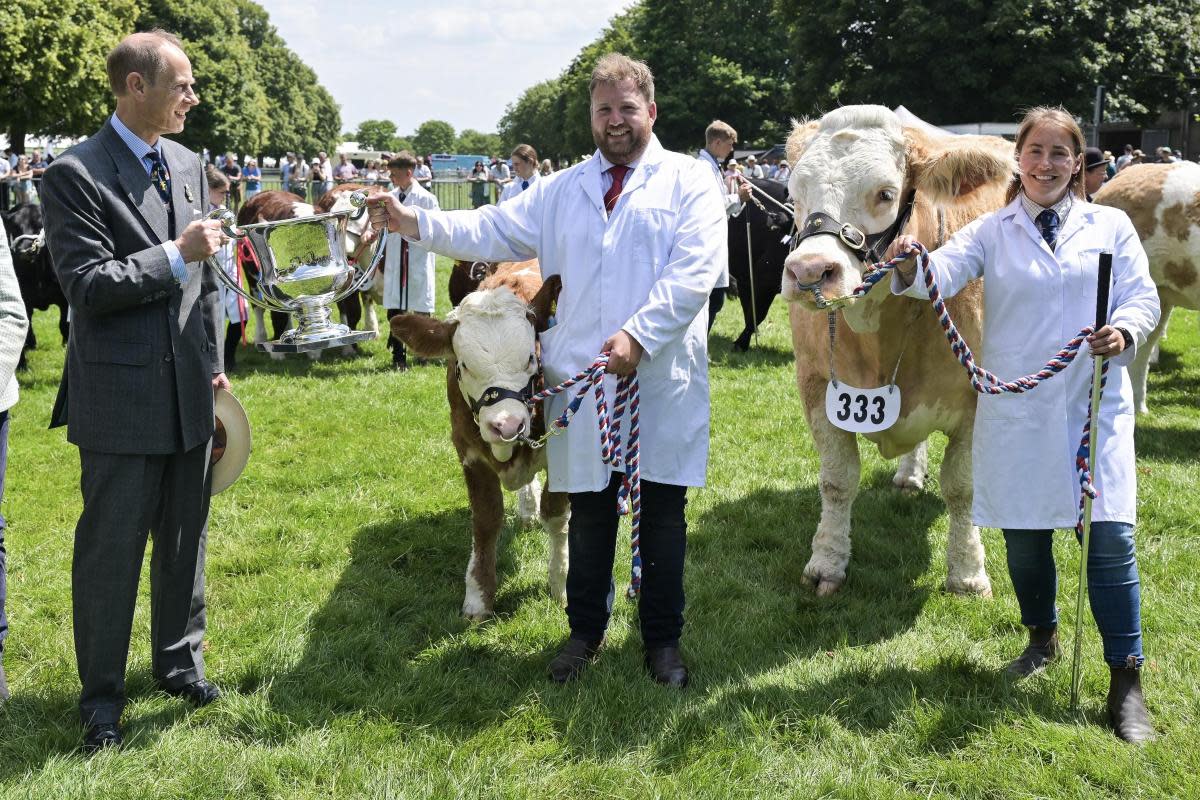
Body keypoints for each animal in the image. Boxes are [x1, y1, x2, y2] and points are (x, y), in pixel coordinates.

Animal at [1, 205, 68, 371]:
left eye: (39, 225)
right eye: (14, 226)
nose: (23, 250)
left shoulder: (65, 300)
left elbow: (64, 324)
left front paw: (66, 345)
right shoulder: (23, 300)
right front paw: (22, 366)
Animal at [388, 261, 566, 618]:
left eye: (530, 358)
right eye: (465, 365)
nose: (507, 424)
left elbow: (555, 516)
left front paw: (560, 584)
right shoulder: (470, 454)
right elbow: (485, 521)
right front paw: (478, 596)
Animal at [777, 103, 1012, 597]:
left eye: (885, 193)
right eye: (795, 192)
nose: (809, 271)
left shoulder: (977, 396)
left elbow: (962, 486)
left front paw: (967, 572)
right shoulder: (814, 383)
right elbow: (837, 479)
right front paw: (826, 562)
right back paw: (908, 475)